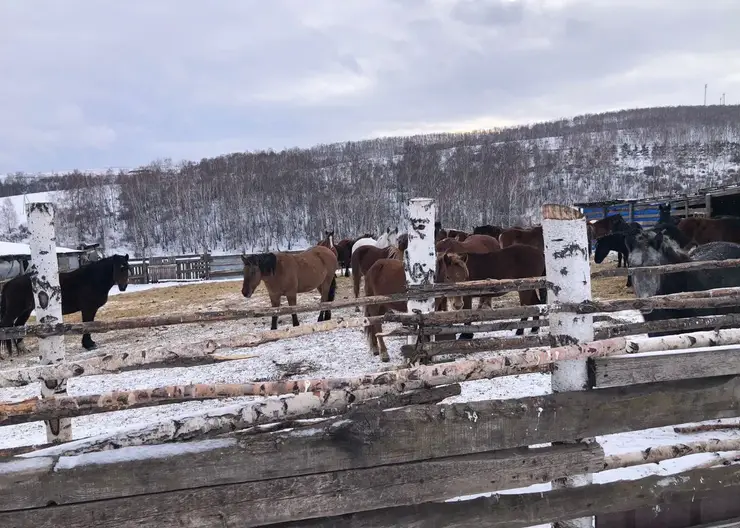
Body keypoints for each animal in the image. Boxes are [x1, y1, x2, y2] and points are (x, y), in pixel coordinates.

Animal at [0, 255, 130, 354]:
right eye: (119, 268)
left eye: (127, 268)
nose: (123, 287)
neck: (92, 279)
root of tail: (9, 283)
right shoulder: (88, 309)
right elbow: (87, 324)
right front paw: (88, 344)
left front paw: (89, 343)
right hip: (14, 310)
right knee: (5, 325)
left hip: (26, 311)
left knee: (18, 325)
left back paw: (22, 349)